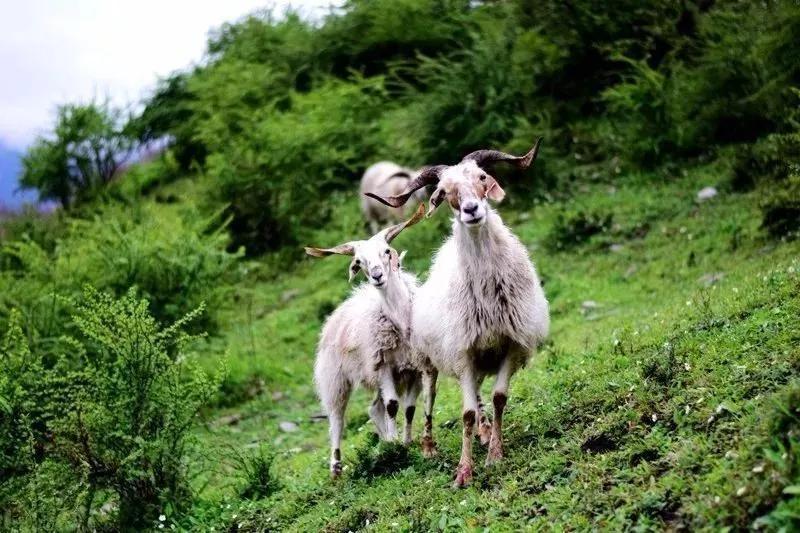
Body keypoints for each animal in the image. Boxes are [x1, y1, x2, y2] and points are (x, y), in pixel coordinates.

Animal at [306, 203, 434, 474]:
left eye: (386, 251)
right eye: (359, 262)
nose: (376, 275)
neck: (400, 321)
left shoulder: (413, 369)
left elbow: (408, 408)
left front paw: (405, 442)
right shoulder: (382, 365)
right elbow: (393, 405)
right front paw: (397, 446)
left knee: (374, 408)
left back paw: (386, 441)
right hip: (334, 379)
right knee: (337, 420)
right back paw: (336, 467)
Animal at [368, 138, 552, 486]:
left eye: (482, 177)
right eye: (445, 191)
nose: (471, 210)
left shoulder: (510, 344)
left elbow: (498, 398)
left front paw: (495, 453)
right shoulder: (463, 352)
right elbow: (464, 414)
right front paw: (464, 471)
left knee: (479, 396)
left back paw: (484, 432)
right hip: (430, 363)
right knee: (429, 401)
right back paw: (428, 446)